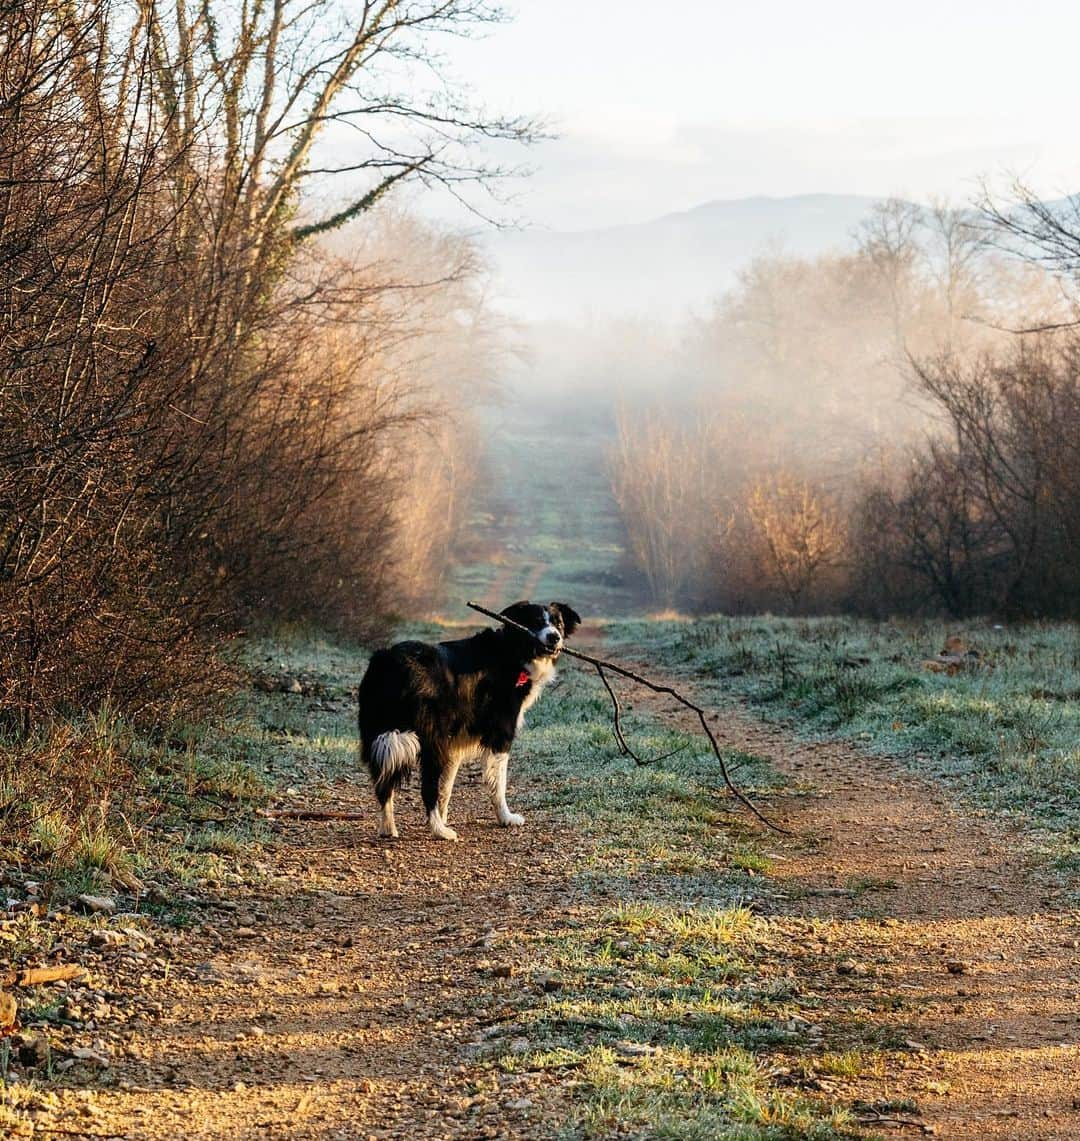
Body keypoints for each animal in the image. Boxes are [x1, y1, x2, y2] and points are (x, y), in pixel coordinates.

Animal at [355, 607, 583, 839]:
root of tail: (391, 663)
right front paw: (506, 818)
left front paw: (444, 815)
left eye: (558, 623)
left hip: (379, 731)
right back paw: (440, 831)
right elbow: (498, 783)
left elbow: (446, 786)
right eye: (536, 622)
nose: (554, 637)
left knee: (384, 782)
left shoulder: (454, 744)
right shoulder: (500, 734)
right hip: (430, 739)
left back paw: (388, 828)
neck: (512, 649)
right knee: (426, 786)